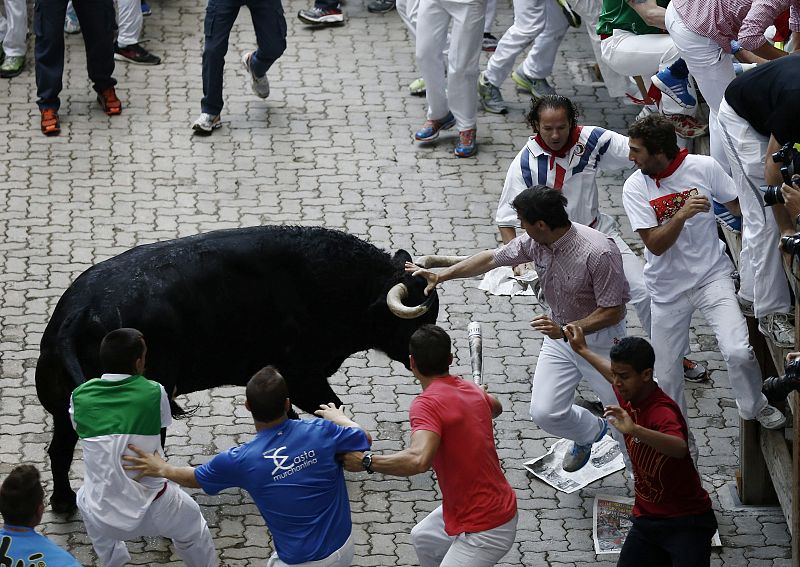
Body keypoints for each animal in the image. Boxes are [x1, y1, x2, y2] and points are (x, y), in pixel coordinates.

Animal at [36, 225, 438, 516]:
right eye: (416, 321)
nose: (437, 351)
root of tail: (80, 311)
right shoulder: (304, 374)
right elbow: (333, 407)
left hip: (61, 409)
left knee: (59, 449)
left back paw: (63, 502)